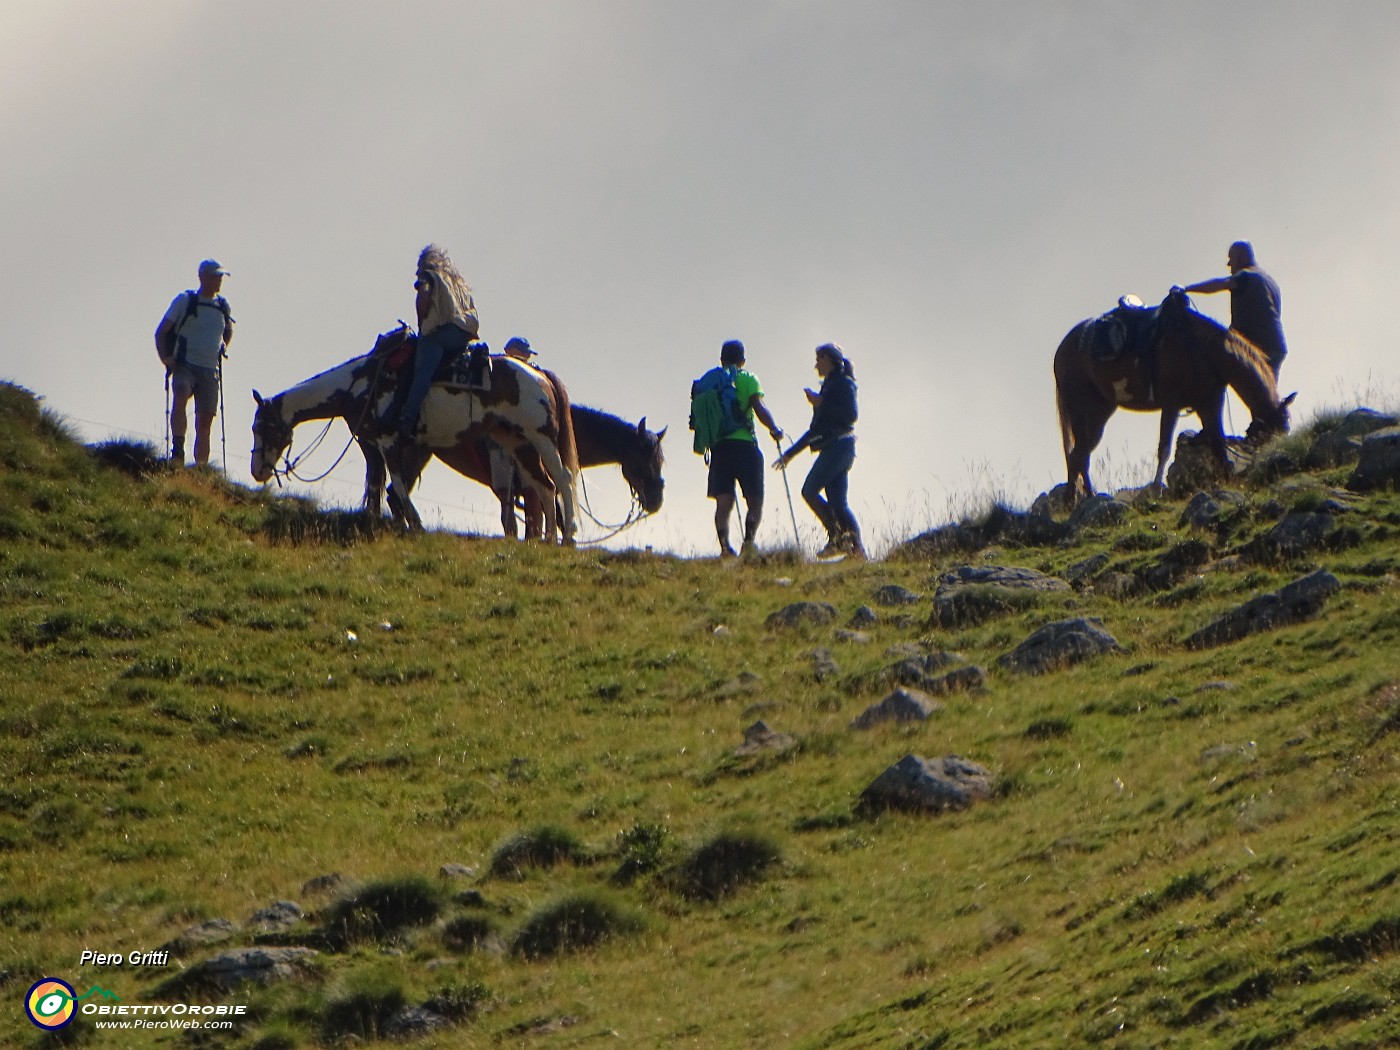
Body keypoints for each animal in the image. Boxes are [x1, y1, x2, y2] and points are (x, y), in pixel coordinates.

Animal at [1052, 288, 1293, 501]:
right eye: (1272, 432)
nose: (1275, 462)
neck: (1205, 349)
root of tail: (1061, 350)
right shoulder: (1171, 404)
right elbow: (1165, 448)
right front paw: (1157, 489)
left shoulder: (1210, 402)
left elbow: (1217, 440)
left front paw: (1228, 476)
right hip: (1080, 410)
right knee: (1079, 455)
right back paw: (1078, 499)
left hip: (1100, 412)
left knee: (1080, 453)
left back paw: (1081, 497)